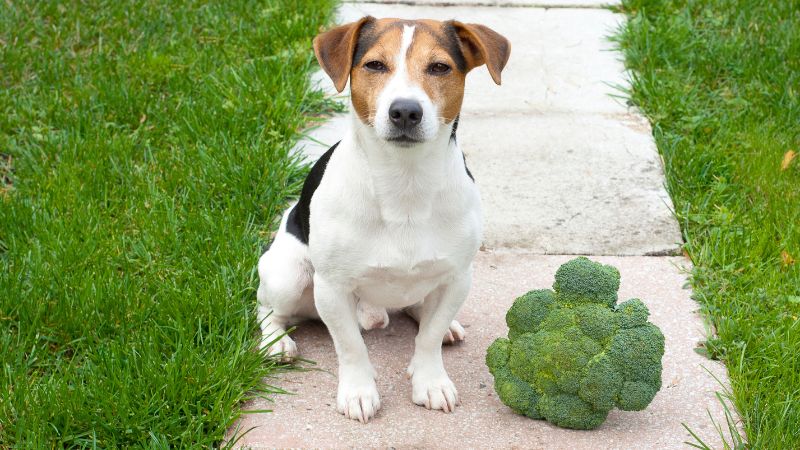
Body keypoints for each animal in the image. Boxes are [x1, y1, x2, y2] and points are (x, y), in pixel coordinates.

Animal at [258, 14, 512, 422]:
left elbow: (428, 338)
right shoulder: (332, 288)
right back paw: (275, 342)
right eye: (375, 65)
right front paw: (359, 392)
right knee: (266, 309)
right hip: (288, 277)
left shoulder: (457, 278)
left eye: (439, 67)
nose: (405, 111)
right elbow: (350, 347)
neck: (404, 183)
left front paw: (430, 380)